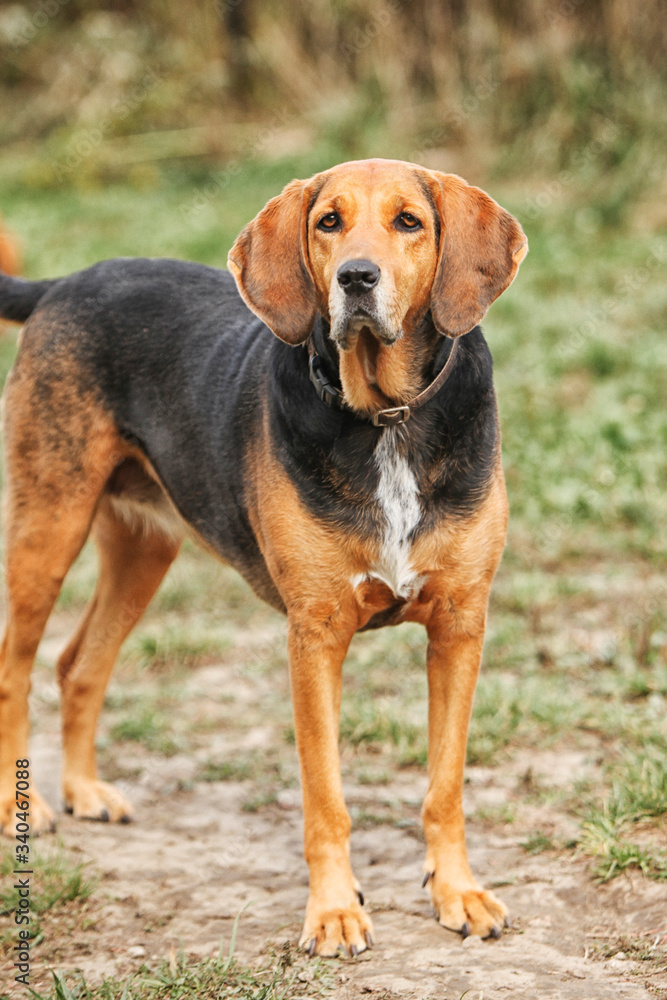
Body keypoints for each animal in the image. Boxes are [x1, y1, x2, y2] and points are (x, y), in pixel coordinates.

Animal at [0, 160, 528, 956]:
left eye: (409, 222)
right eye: (328, 222)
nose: (356, 277)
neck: (386, 419)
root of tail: (62, 284)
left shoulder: (460, 625)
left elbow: (445, 788)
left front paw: (457, 893)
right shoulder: (315, 634)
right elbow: (325, 795)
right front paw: (334, 911)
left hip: (144, 546)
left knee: (78, 665)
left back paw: (85, 790)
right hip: (47, 528)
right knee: (17, 667)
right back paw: (15, 809)